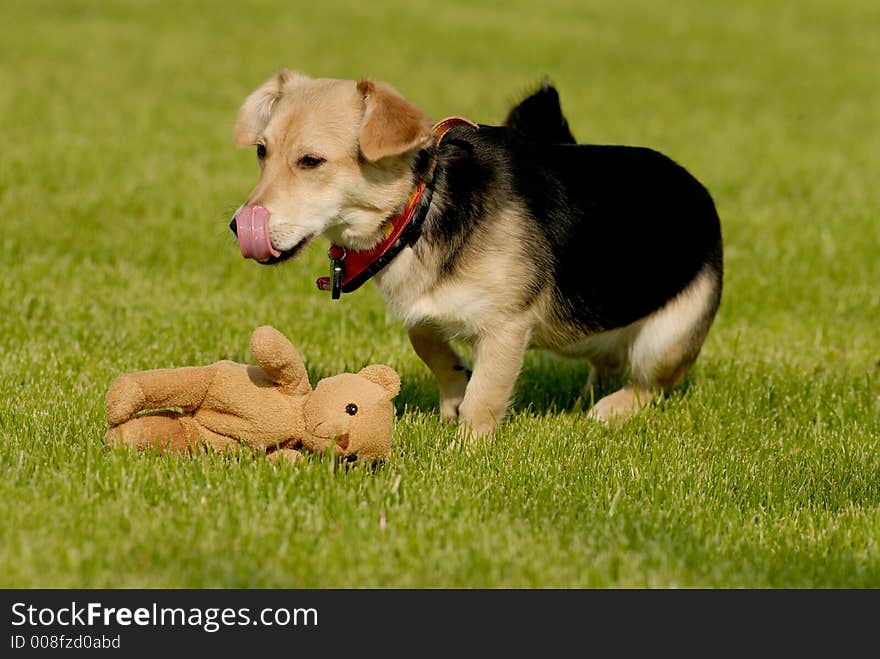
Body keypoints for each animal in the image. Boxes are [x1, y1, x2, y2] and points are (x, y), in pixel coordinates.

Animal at [227, 71, 720, 438]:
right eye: (262, 152)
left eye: (311, 161)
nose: (236, 227)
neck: (422, 203)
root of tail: (697, 187)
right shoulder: (423, 308)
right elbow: (427, 341)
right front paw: (452, 392)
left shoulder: (507, 326)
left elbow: (484, 394)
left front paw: (468, 447)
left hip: (668, 337)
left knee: (650, 383)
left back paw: (611, 408)